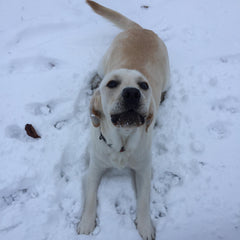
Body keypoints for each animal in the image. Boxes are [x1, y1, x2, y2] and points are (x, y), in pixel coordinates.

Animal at [78, 0, 170, 239]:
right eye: (112, 84)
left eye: (144, 85)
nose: (131, 93)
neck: (122, 141)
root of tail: (141, 29)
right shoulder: (95, 168)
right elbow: (90, 198)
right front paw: (86, 222)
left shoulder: (144, 169)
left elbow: (144, 200)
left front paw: (145, 226)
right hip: (103, 62)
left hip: (168, 77)